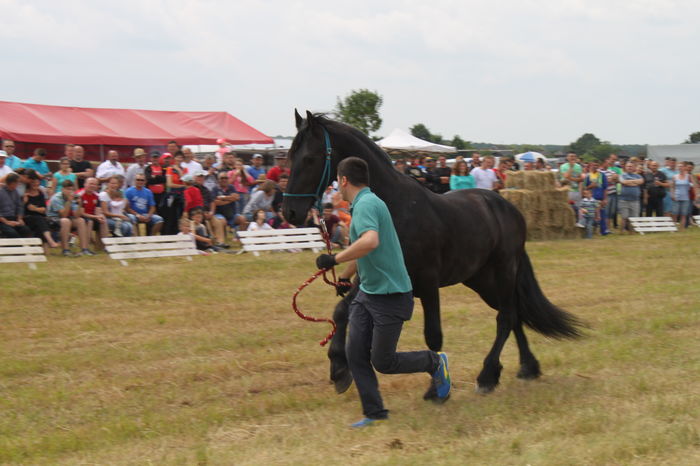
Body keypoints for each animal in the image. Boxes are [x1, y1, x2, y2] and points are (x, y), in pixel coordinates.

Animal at [282, 111, 584, 398]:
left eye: (309, 158)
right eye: (289, 157)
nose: (290, 212)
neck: (396, 208)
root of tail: (509, 208)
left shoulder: (427, 283)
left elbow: (433, 335)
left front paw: (436, 386)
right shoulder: (376, 279)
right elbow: (341, 310)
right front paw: (339, 369)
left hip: (503, 271)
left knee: (506, 317)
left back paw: (487, 376)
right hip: (481, 280)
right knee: (514, 313)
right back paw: (527, 368)